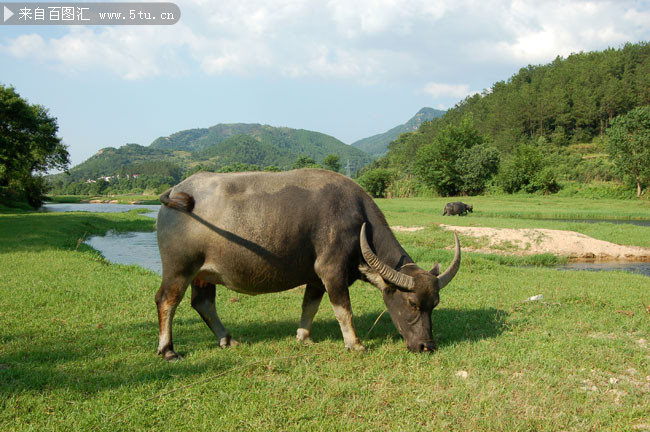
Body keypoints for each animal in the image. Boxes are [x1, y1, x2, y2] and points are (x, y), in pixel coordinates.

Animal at [156, 170, 460, 362]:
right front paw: (355, 344)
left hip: (203, 274)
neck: (358, 220)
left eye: (434, 304)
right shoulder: (332, 271)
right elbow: (343, 310)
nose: (427, 346)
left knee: (203, 303)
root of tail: (179, 190)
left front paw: (304, 336)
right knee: (167, 300)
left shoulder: (315, 279)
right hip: (179, 269)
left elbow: (309, 306)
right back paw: (168, 350)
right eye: (412, 304)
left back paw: (227, 339)